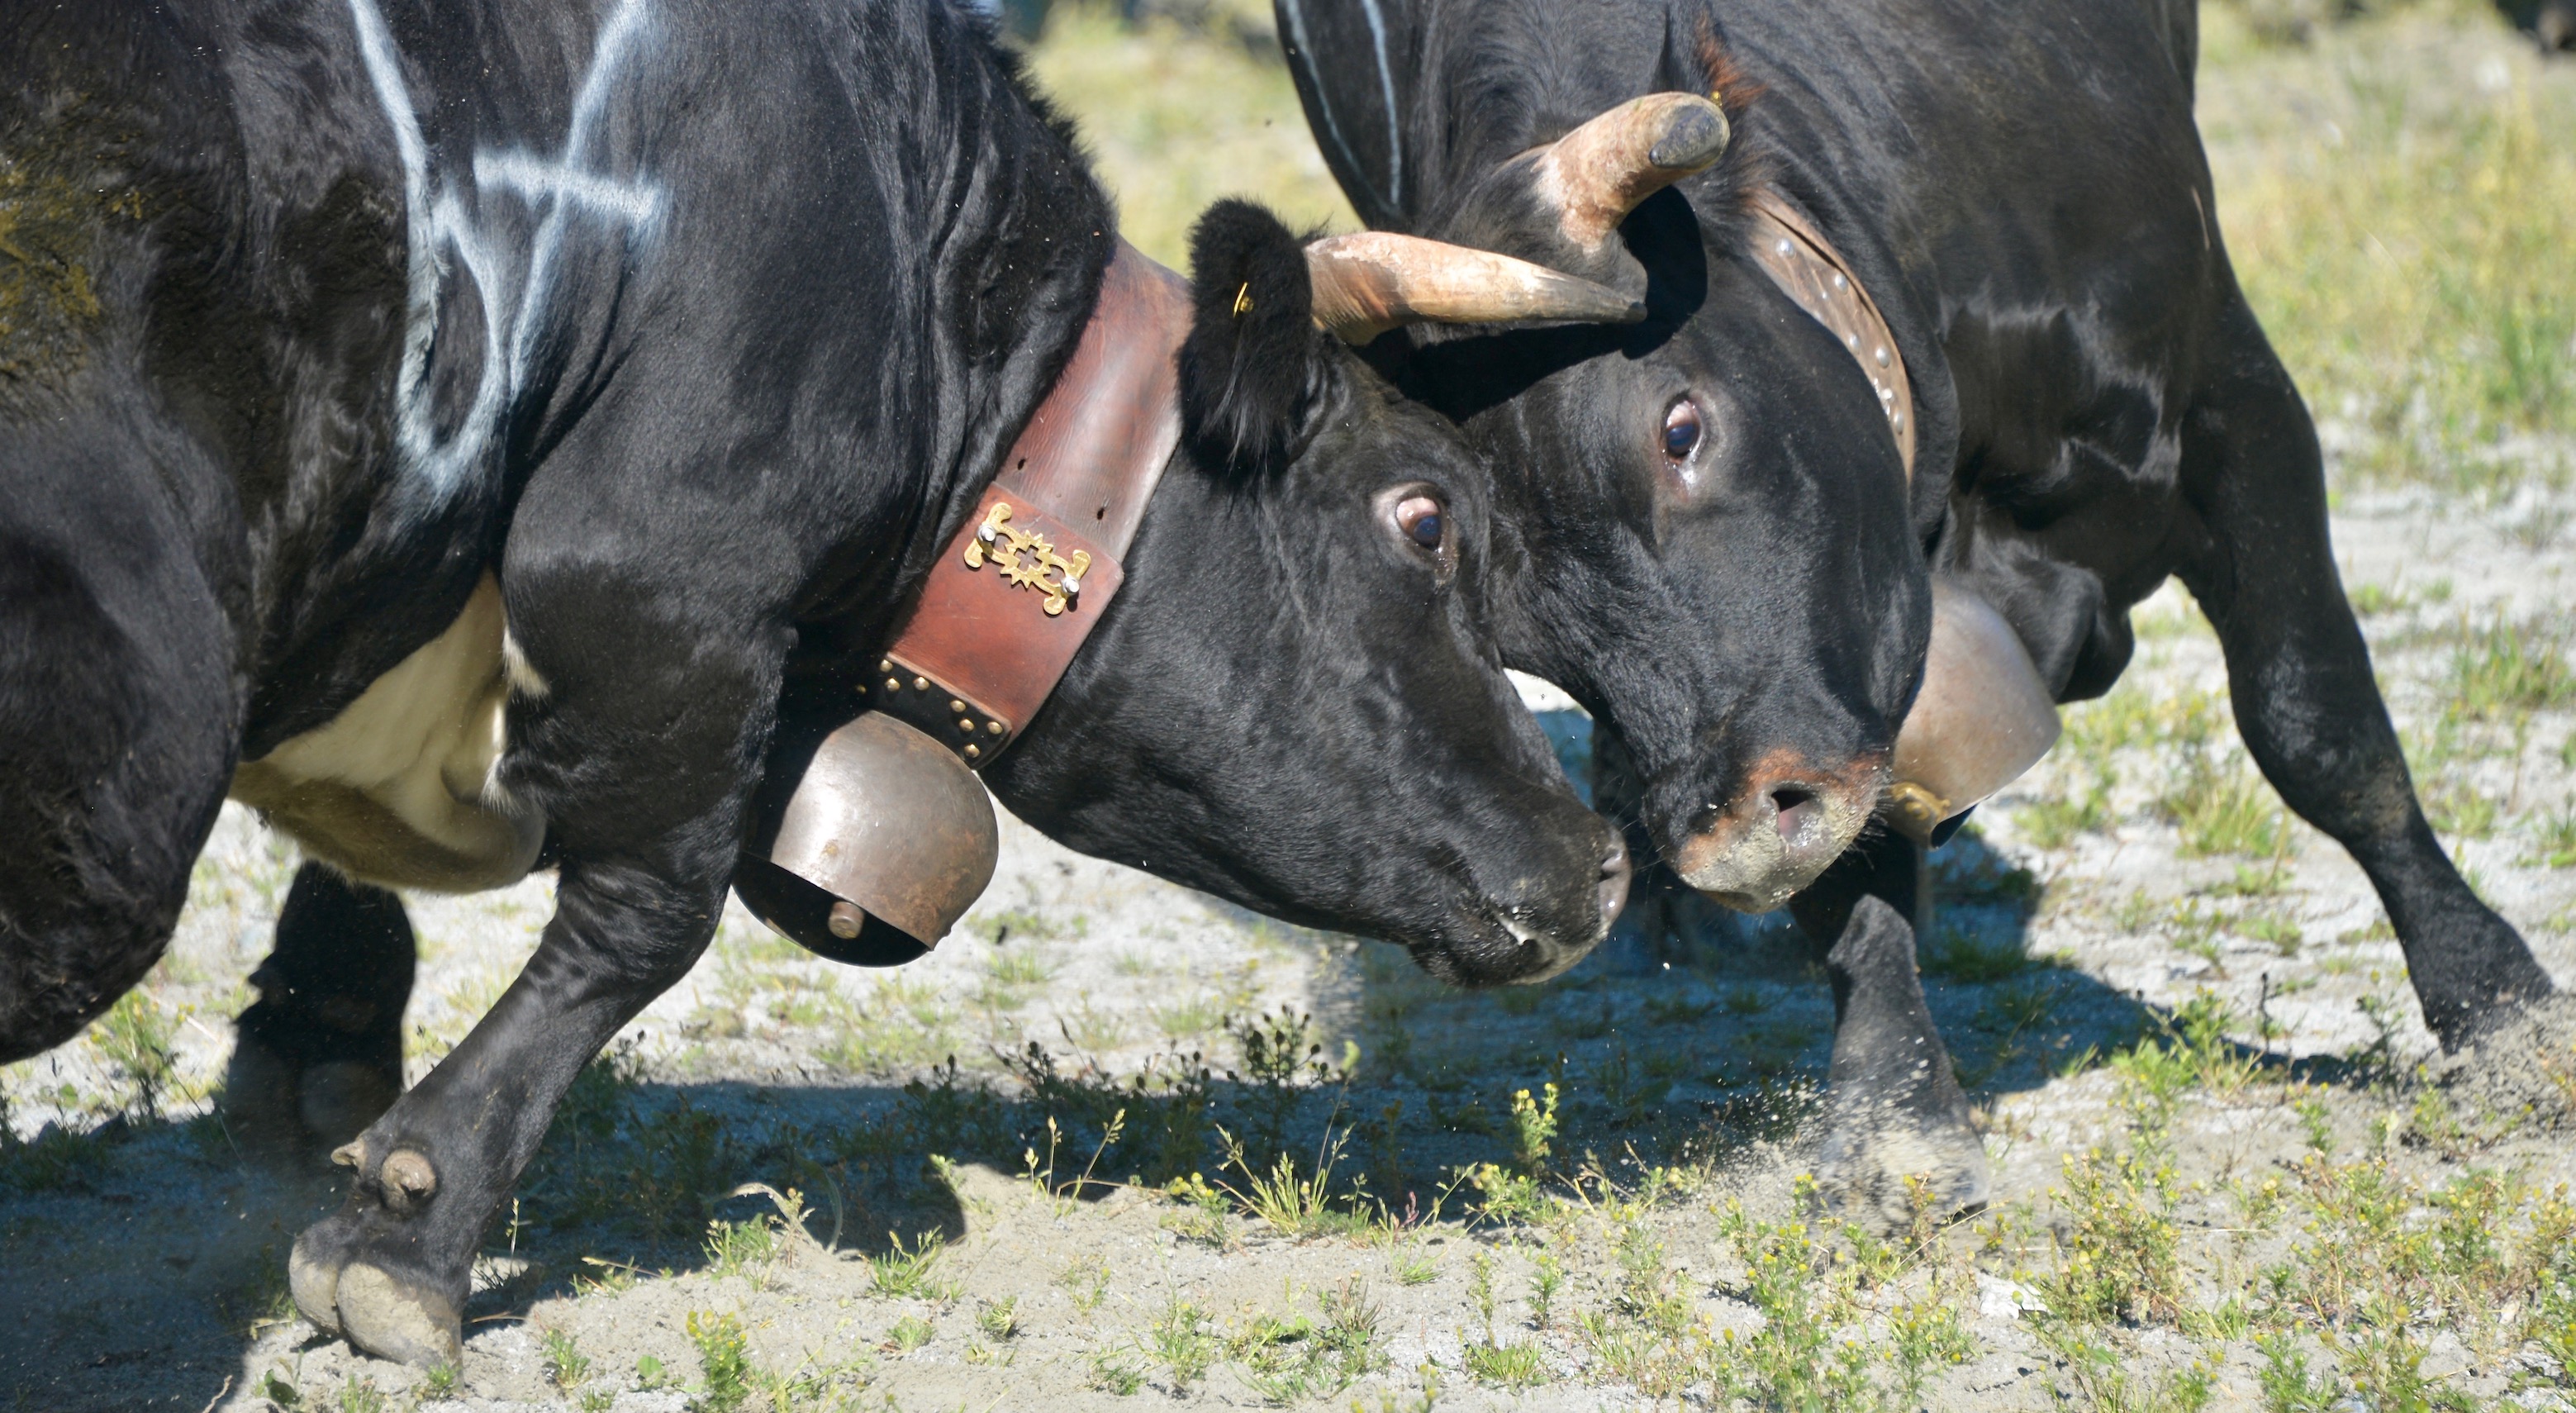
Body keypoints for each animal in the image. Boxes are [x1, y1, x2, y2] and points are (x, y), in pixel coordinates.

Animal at [0, 0, 1670, 1365]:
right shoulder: (670, 576)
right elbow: (646, 915)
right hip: (123, 785)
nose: (1596, 858)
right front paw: (411, 1229)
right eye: (1425, 517)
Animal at [1274, 0, 2567, 1223]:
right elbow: (1852, 875)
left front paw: (2496, 1007)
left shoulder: (2232, 398)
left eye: (1679, 428)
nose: (1728, 836)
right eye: (1512, 622)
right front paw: (1895, 1116)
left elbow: (2318, 727)